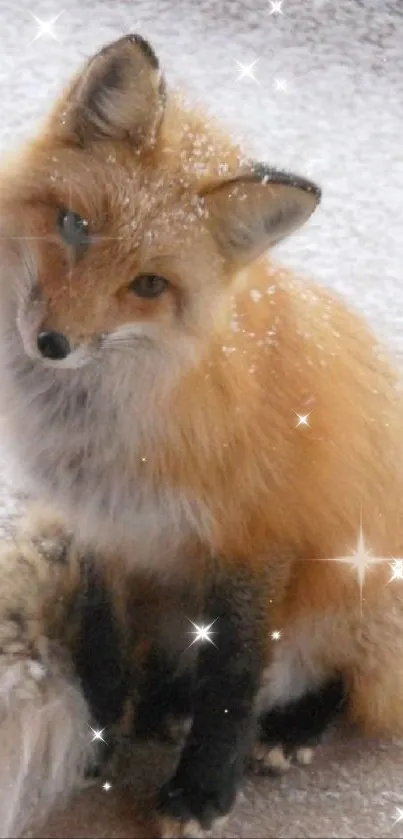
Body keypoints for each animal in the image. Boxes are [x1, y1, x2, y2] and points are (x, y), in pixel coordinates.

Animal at [0, 26, 403, 839]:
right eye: (74, 226)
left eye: (149, 286)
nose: (52, 344)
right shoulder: (100, 527)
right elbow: (102, 645)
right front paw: (102, 738)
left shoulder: (257, 536)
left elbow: (236, 671)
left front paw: (203, 789)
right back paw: (163, 704)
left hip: (348, 583)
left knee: (354, 683)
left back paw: (290, 729)